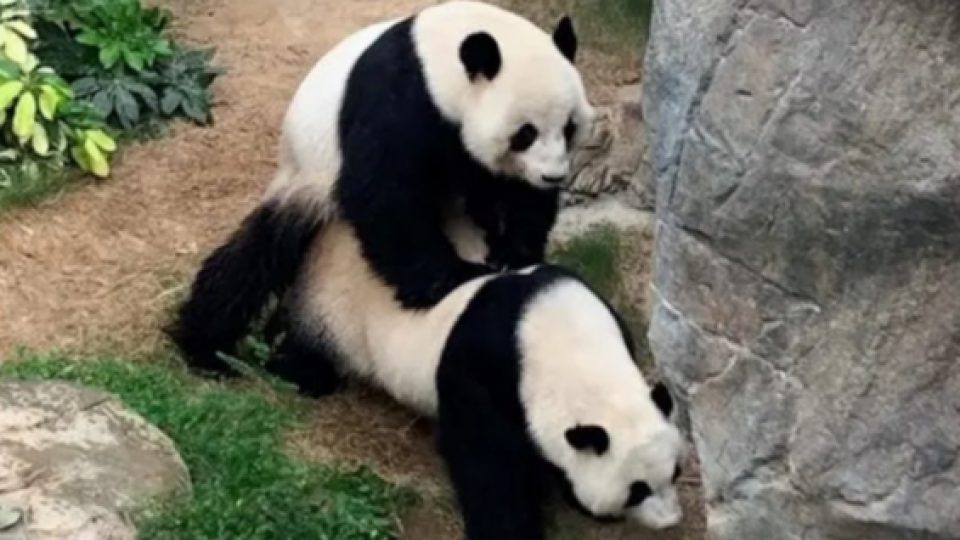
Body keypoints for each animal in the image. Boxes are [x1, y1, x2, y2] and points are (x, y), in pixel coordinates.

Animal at [170, 1, 595, 374]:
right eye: (525, 133)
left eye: (569, 127)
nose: (553, 176)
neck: (438, 60)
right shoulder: (399, 99)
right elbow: (384, 195)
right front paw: (450, 277)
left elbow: (513, 194)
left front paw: (514, 252)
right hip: (305, 178)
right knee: (256, 257)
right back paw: (206, 347)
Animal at [267, 220, 685, 539]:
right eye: (637, 491)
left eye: (676, 472)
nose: (671, 521)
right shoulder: (484, 369)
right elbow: (485, 459)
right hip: (334, 311)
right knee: (306, 345)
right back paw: (300, 372)